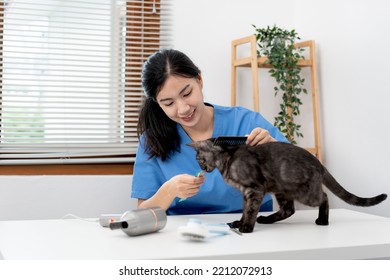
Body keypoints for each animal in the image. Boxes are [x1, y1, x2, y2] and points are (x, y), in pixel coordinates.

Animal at [189, 139, 386, 233]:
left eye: (199, 159)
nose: (201, 168)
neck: (226, 160)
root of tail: (320, 164)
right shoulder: (246, 193)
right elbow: (245, 210)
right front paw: (239, 222)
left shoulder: (254, 189)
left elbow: (251, 210)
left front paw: (246, 227)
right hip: (281, 190)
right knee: (288, 210)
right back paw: (266, 219)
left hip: (305, 194)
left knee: (324, 197)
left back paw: (322, 220)